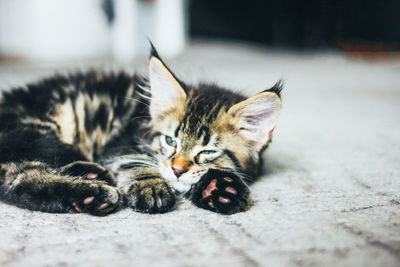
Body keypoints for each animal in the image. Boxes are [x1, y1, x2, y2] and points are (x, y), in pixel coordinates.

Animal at [0, 45, 282, 216]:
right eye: (170, 141)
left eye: (208, 152)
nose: (177, 170)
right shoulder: (121, 143)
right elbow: (136, 163)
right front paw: (152, 187)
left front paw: (219, 188)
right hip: (39, 126)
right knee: (19, 179)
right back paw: (94, 193)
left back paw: (89, 176)